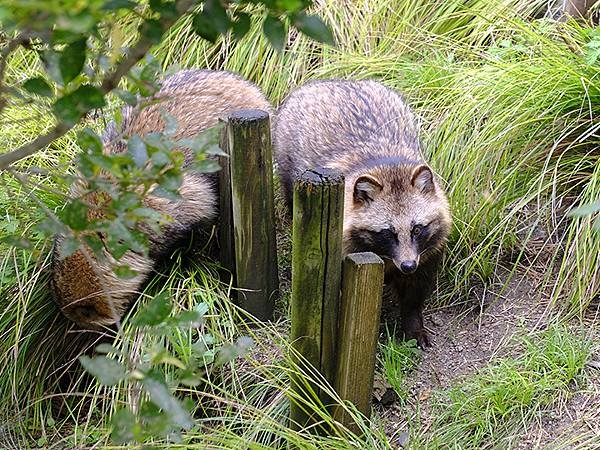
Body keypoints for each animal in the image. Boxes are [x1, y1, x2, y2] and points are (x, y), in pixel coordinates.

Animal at [272, 79, 450, 348]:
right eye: (388, 232)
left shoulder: (427, 252)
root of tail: (333, 81)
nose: (407, 265)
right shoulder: (344, 245)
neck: (388, 165)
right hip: (287, 161)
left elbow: (415, 291)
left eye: (417, 229)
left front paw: (413, 322)